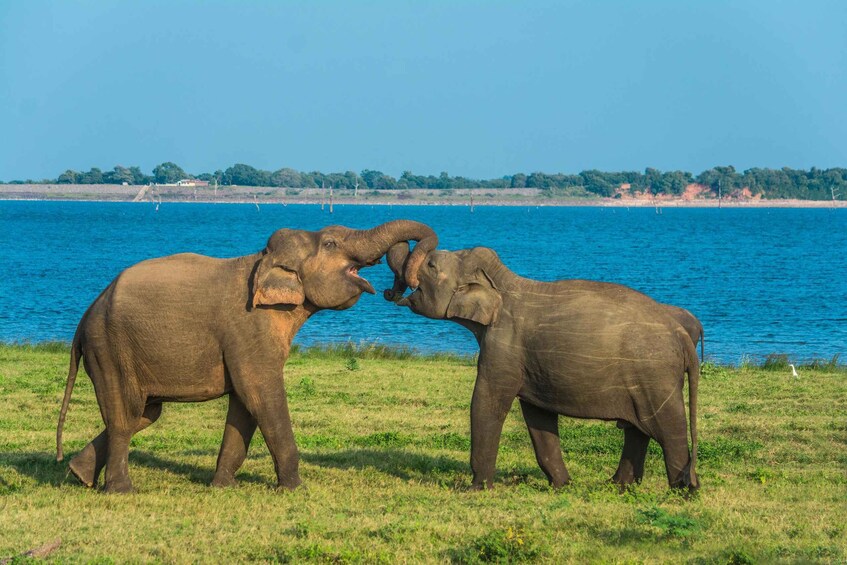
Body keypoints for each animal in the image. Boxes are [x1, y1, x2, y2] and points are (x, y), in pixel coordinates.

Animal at [56, 220, 437, 493]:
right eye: (330, 243)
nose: (393, 290)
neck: (262, 259)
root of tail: (84, 318)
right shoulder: (249, 328)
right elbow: (261, 394)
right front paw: (294, 490)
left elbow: (244, 404)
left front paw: (222, 487)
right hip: (111, 349)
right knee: (126, 416)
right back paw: (120, 490)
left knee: (144, 414)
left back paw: (78, 475)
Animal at [384, 244, 699, 491]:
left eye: (431, 265)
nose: (391, 291)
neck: (503, 282)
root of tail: (682, 335)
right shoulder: (532, 364)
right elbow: (538, 416)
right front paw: (563, 485)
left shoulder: (503, 347)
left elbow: (488, 402)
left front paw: (475, 488)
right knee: (637, 430)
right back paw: (618, 485)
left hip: (655, 376)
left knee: (668, 428)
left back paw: (683, 491)